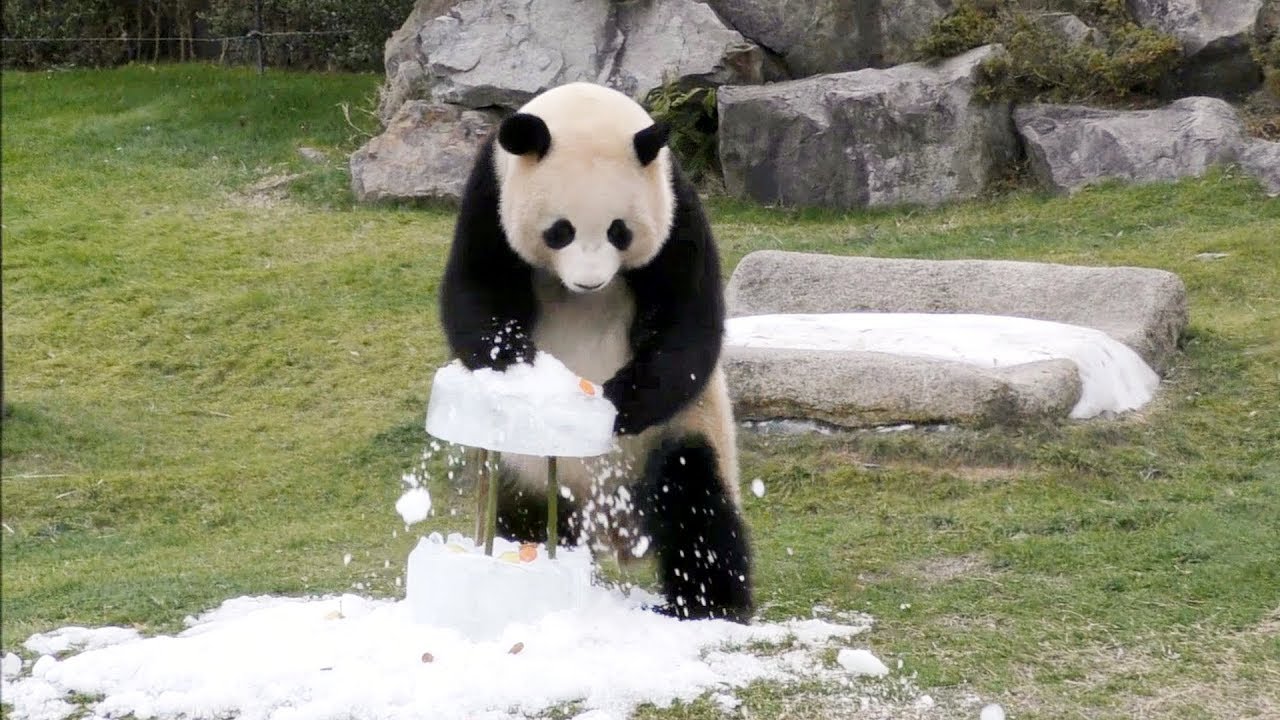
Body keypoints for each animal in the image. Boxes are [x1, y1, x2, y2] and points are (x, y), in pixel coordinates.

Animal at [439, 81, 752, 623]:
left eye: (618, 230)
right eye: (559, 230)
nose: (590, 282)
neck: (585, 108)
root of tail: (613, 530)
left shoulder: (676, 206)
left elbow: (689, 322)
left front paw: (619, 402)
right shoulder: (490, 195)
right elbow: (473, 292)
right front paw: (516, 362)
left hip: (688, 428)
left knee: (697, 501)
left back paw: (706, 604)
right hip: (529, 466)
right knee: (523, 514)